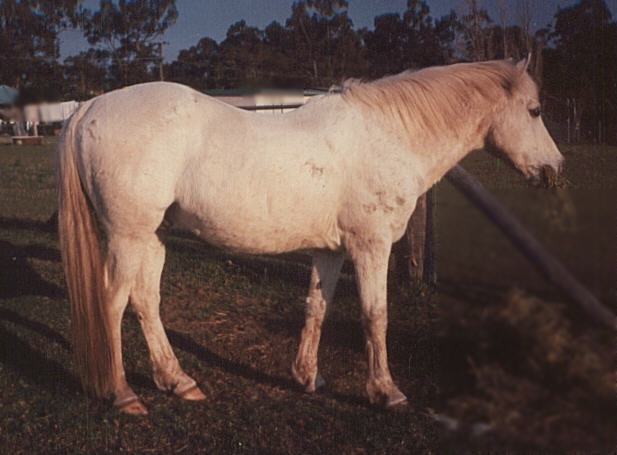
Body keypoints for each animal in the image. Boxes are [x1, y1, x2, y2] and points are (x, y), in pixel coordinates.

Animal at [57, 57, 564, 414]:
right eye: (535, 110)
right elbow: (375, 315)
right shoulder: (371, 246)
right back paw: (123, 393)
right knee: (112, 302)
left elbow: (317, 307)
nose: (554, 170)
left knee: (146, 301)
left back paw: (178, 382)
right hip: (127, 236)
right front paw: (386, 392)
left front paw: (307, 378)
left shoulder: (331, 251)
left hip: (152, 236)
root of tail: (90, 107)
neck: (388, 134)